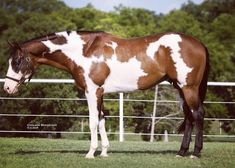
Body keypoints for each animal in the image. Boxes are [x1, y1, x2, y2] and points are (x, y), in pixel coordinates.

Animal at [3, 30, 209, 159]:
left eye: (17, 61)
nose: (7, 88)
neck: (84, 52)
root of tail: (198, 44)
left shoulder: (91, 91)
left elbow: (93, 121)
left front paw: (90, 153)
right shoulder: (99, 93)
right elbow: (102, 120)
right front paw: (103, 152)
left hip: (189, 88)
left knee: (198, 114)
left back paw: (195, 153)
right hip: (180, 89)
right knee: (189, 117)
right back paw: (181, 152)